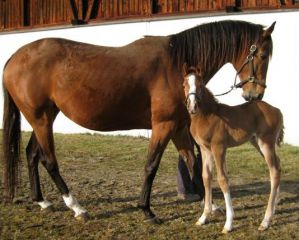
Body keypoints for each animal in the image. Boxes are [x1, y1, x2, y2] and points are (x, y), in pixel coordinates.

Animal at [183, 66, 284, 233]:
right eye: (184, 84)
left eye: (200, 84)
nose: (192, 106)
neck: (207, 116)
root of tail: (277, 110)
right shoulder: (205, 150)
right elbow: (206, 177)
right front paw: (203, 218)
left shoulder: (218, 148)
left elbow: (223, 179)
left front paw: (228, 223)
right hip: (257, 143)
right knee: (278, 166)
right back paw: (274, 207)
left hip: (266, 143)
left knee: (274, 171)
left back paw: (266, 220)